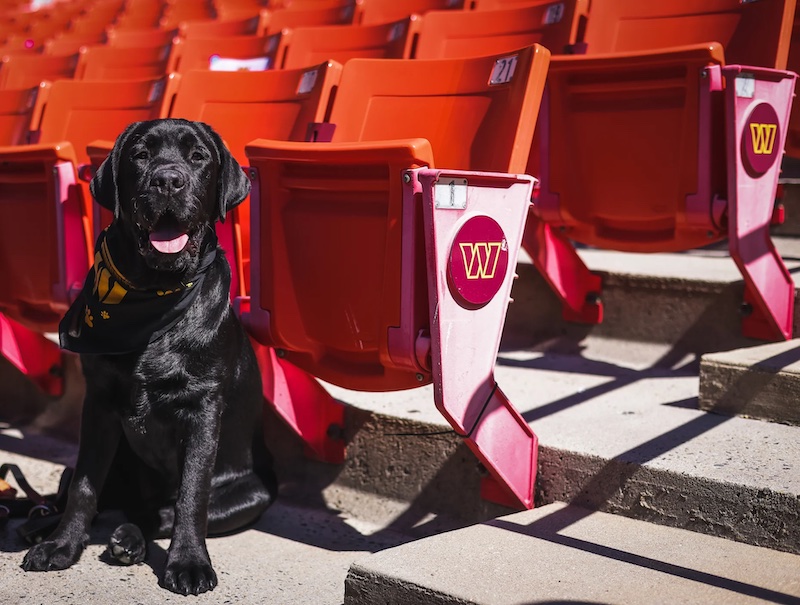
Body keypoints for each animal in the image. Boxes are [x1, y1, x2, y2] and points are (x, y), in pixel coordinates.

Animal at [22, 118, 278, 596]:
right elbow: (85, 485)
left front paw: (189, 563)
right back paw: (47, 524)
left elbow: (191, 496)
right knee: (86, 491)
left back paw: (128, 541)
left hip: (251, 494)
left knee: (158, 512)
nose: (167, 181)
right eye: (140, 155)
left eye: (198, 157)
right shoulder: (99, 404)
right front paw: (62, 546)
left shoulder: (202, 409)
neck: (154, 298)